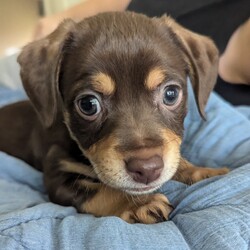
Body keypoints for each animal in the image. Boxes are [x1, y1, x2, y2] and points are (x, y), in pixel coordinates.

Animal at [0, 11, 228, 224]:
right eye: (88, 104)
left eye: (171, 94)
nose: (147, 169)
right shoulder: (58, 176)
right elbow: (100, 190)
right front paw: (139, 203)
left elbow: (176, 158)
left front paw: (201, 170)